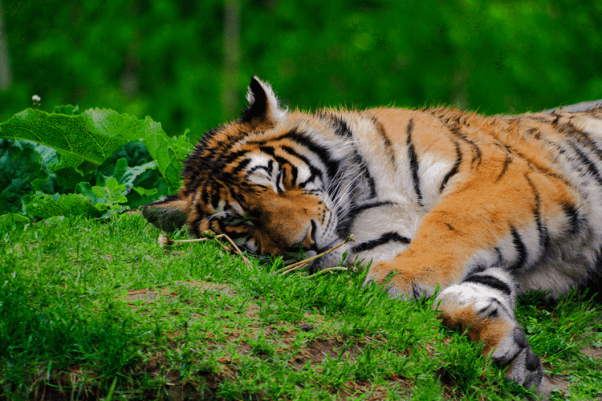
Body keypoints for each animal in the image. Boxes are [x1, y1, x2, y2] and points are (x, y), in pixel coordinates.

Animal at [143, 76, 600, 388]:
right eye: (242, 222)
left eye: (278, 180)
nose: (303, 241)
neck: (364, 197)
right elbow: (468, 289)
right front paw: (504, 346)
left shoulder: (501, 177)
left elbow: (453, 223)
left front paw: (400, 278)